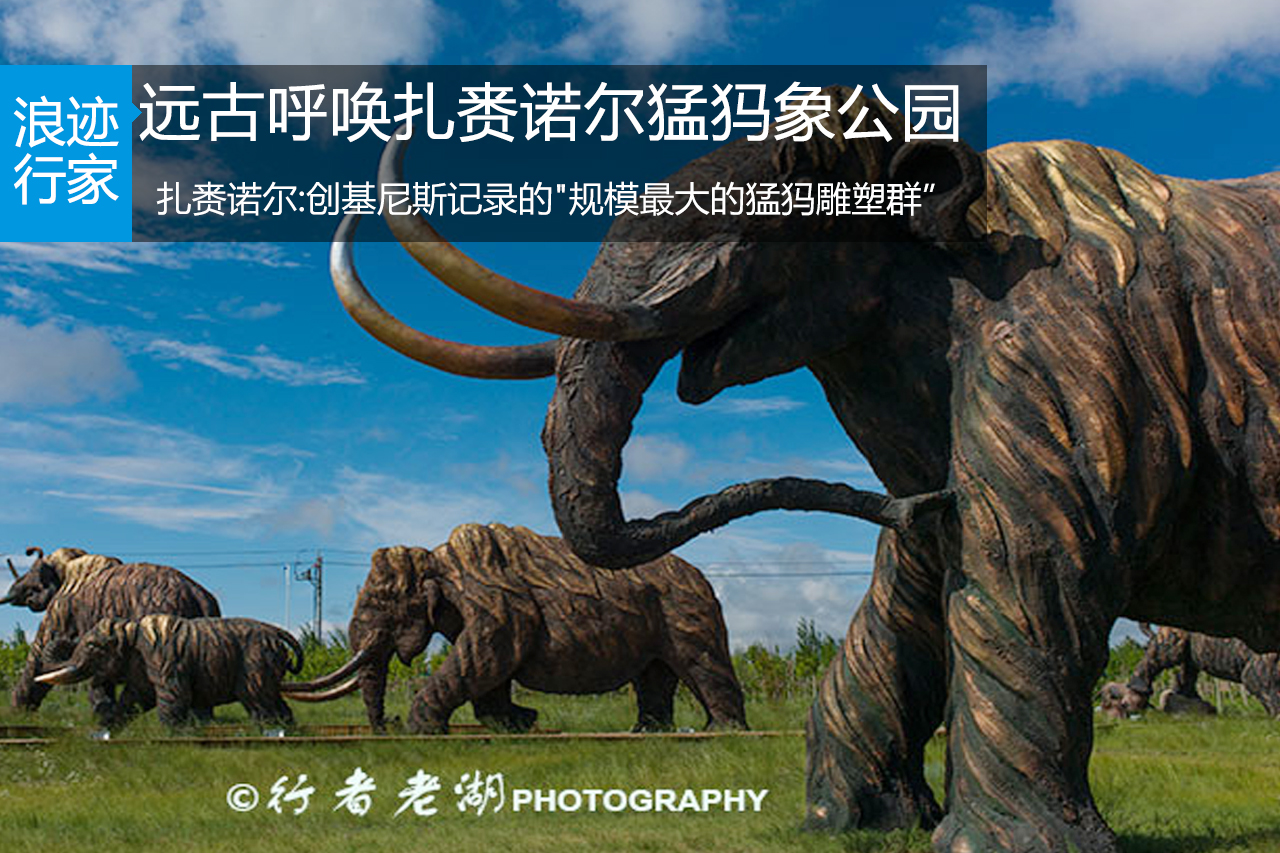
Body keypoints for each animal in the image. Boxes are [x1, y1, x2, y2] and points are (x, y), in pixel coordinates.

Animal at [36, 615, 303, 729]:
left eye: (93, 646)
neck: (129, 628)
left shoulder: (163, 659)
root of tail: (277, 633)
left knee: (257, 700)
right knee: (275, 701)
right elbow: (136, 698)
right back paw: (286, 726)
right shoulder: (141, 666)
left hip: (255, 665)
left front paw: (171, 733)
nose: (68, 636)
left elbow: (173, 696)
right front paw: (108, 727)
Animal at [284, 523, 747, 734]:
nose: (388, 724)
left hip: (687, 613)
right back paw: (646, 731)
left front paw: (423, 730)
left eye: (382, 609)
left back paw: (722, 731)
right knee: (654, 676)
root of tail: (703, 578)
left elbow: (489, 654)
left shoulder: (496, 602)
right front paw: (518, 721)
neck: (436, 558)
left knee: (701, 667)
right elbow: (488, 669)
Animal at [1100, 624, 1280, 718]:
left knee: (1188, 666)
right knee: (1163, 653)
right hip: (1175, 634)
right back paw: (1136, 699)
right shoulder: (1260, 663)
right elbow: (1263, 684)